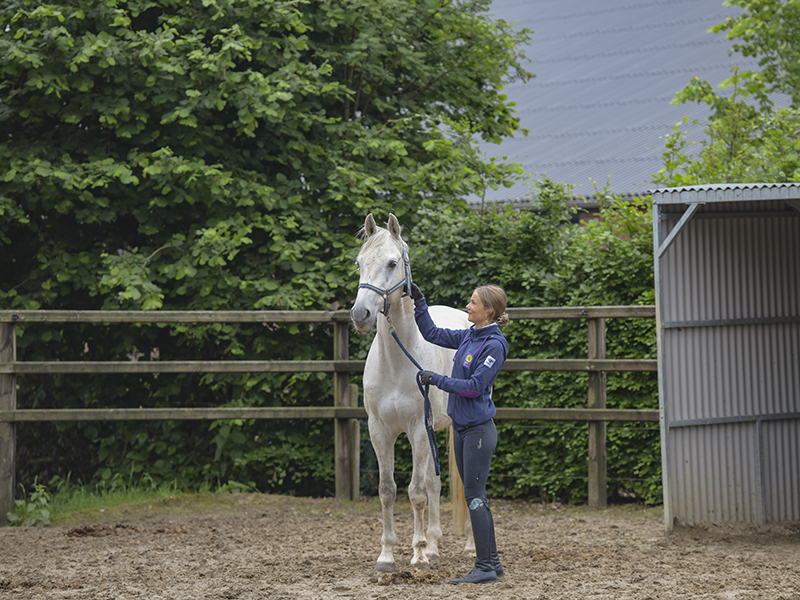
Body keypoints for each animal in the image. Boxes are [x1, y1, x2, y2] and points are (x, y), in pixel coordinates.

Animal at [350, 213, 473, 573]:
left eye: (392, 263)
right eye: (359, 263)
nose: (360, 314)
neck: (396, 361)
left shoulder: (418, 428)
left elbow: (415, 491)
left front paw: (416, 555)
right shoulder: (380, 431)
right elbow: (388, 490)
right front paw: (387, 556)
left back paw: (468, 546)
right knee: (435, 484)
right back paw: (433, 545)